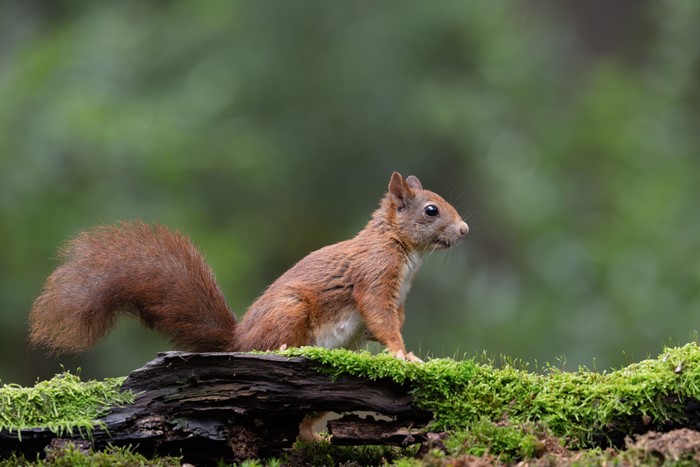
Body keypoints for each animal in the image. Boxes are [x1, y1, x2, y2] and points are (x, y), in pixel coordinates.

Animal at [29, 171, 468, 439]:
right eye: (431, 210)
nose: (465, 230)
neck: (400, 248)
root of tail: (238, 342)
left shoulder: (396, 298)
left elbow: (385, 323)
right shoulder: (374, 279)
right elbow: (379, 318)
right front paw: (403, 355)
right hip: (290, 311)